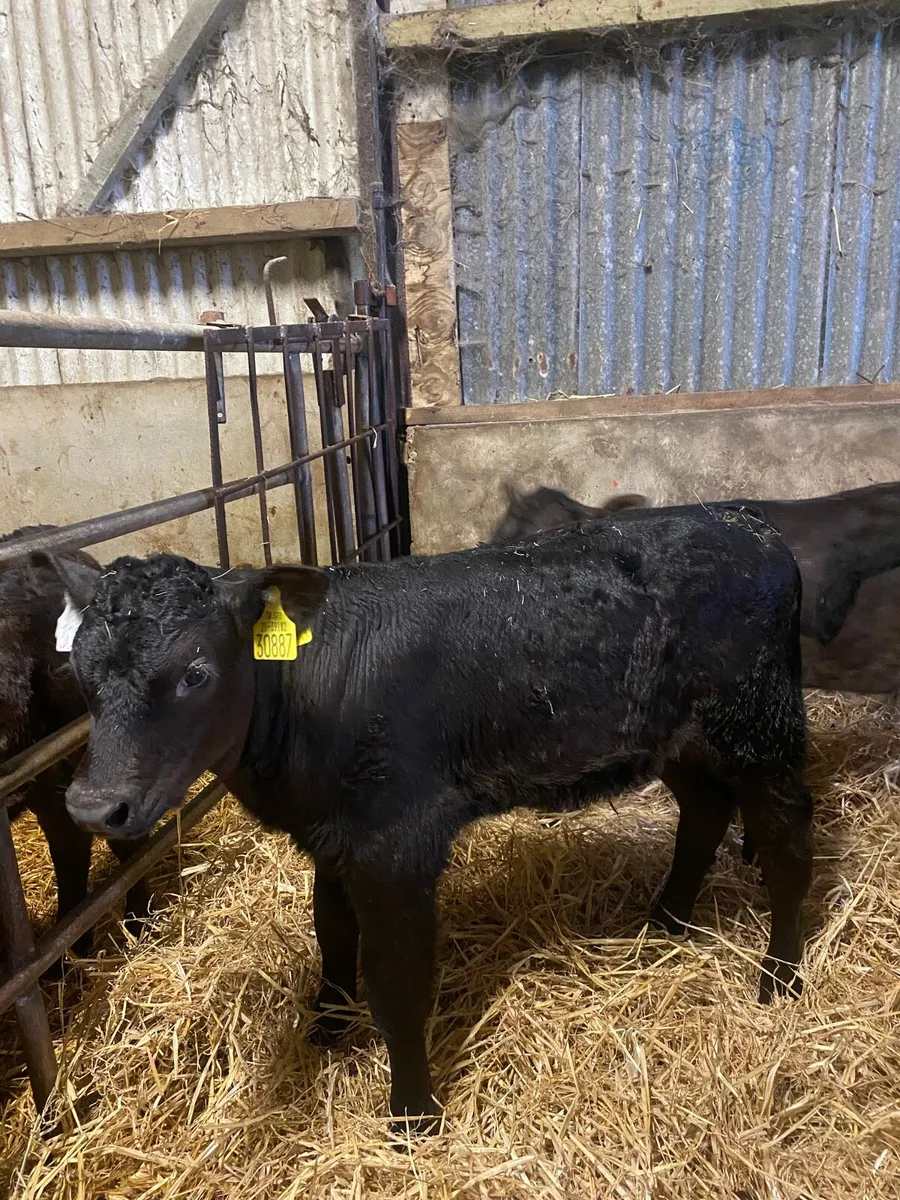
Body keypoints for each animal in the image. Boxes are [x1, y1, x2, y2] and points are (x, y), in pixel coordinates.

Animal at [39, 502, 813, 1130]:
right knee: (705, 813)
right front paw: (328, 1022)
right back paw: (666, 923)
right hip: (679, 736)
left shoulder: (395, 843)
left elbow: (397, 978)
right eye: (78, 671)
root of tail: (750, 522)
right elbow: (331, 927)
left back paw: (779, 976)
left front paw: (412, 1112)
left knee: (786, 842)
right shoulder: (335, 835)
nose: (93, 805)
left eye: (195, 672)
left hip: (759, 725)